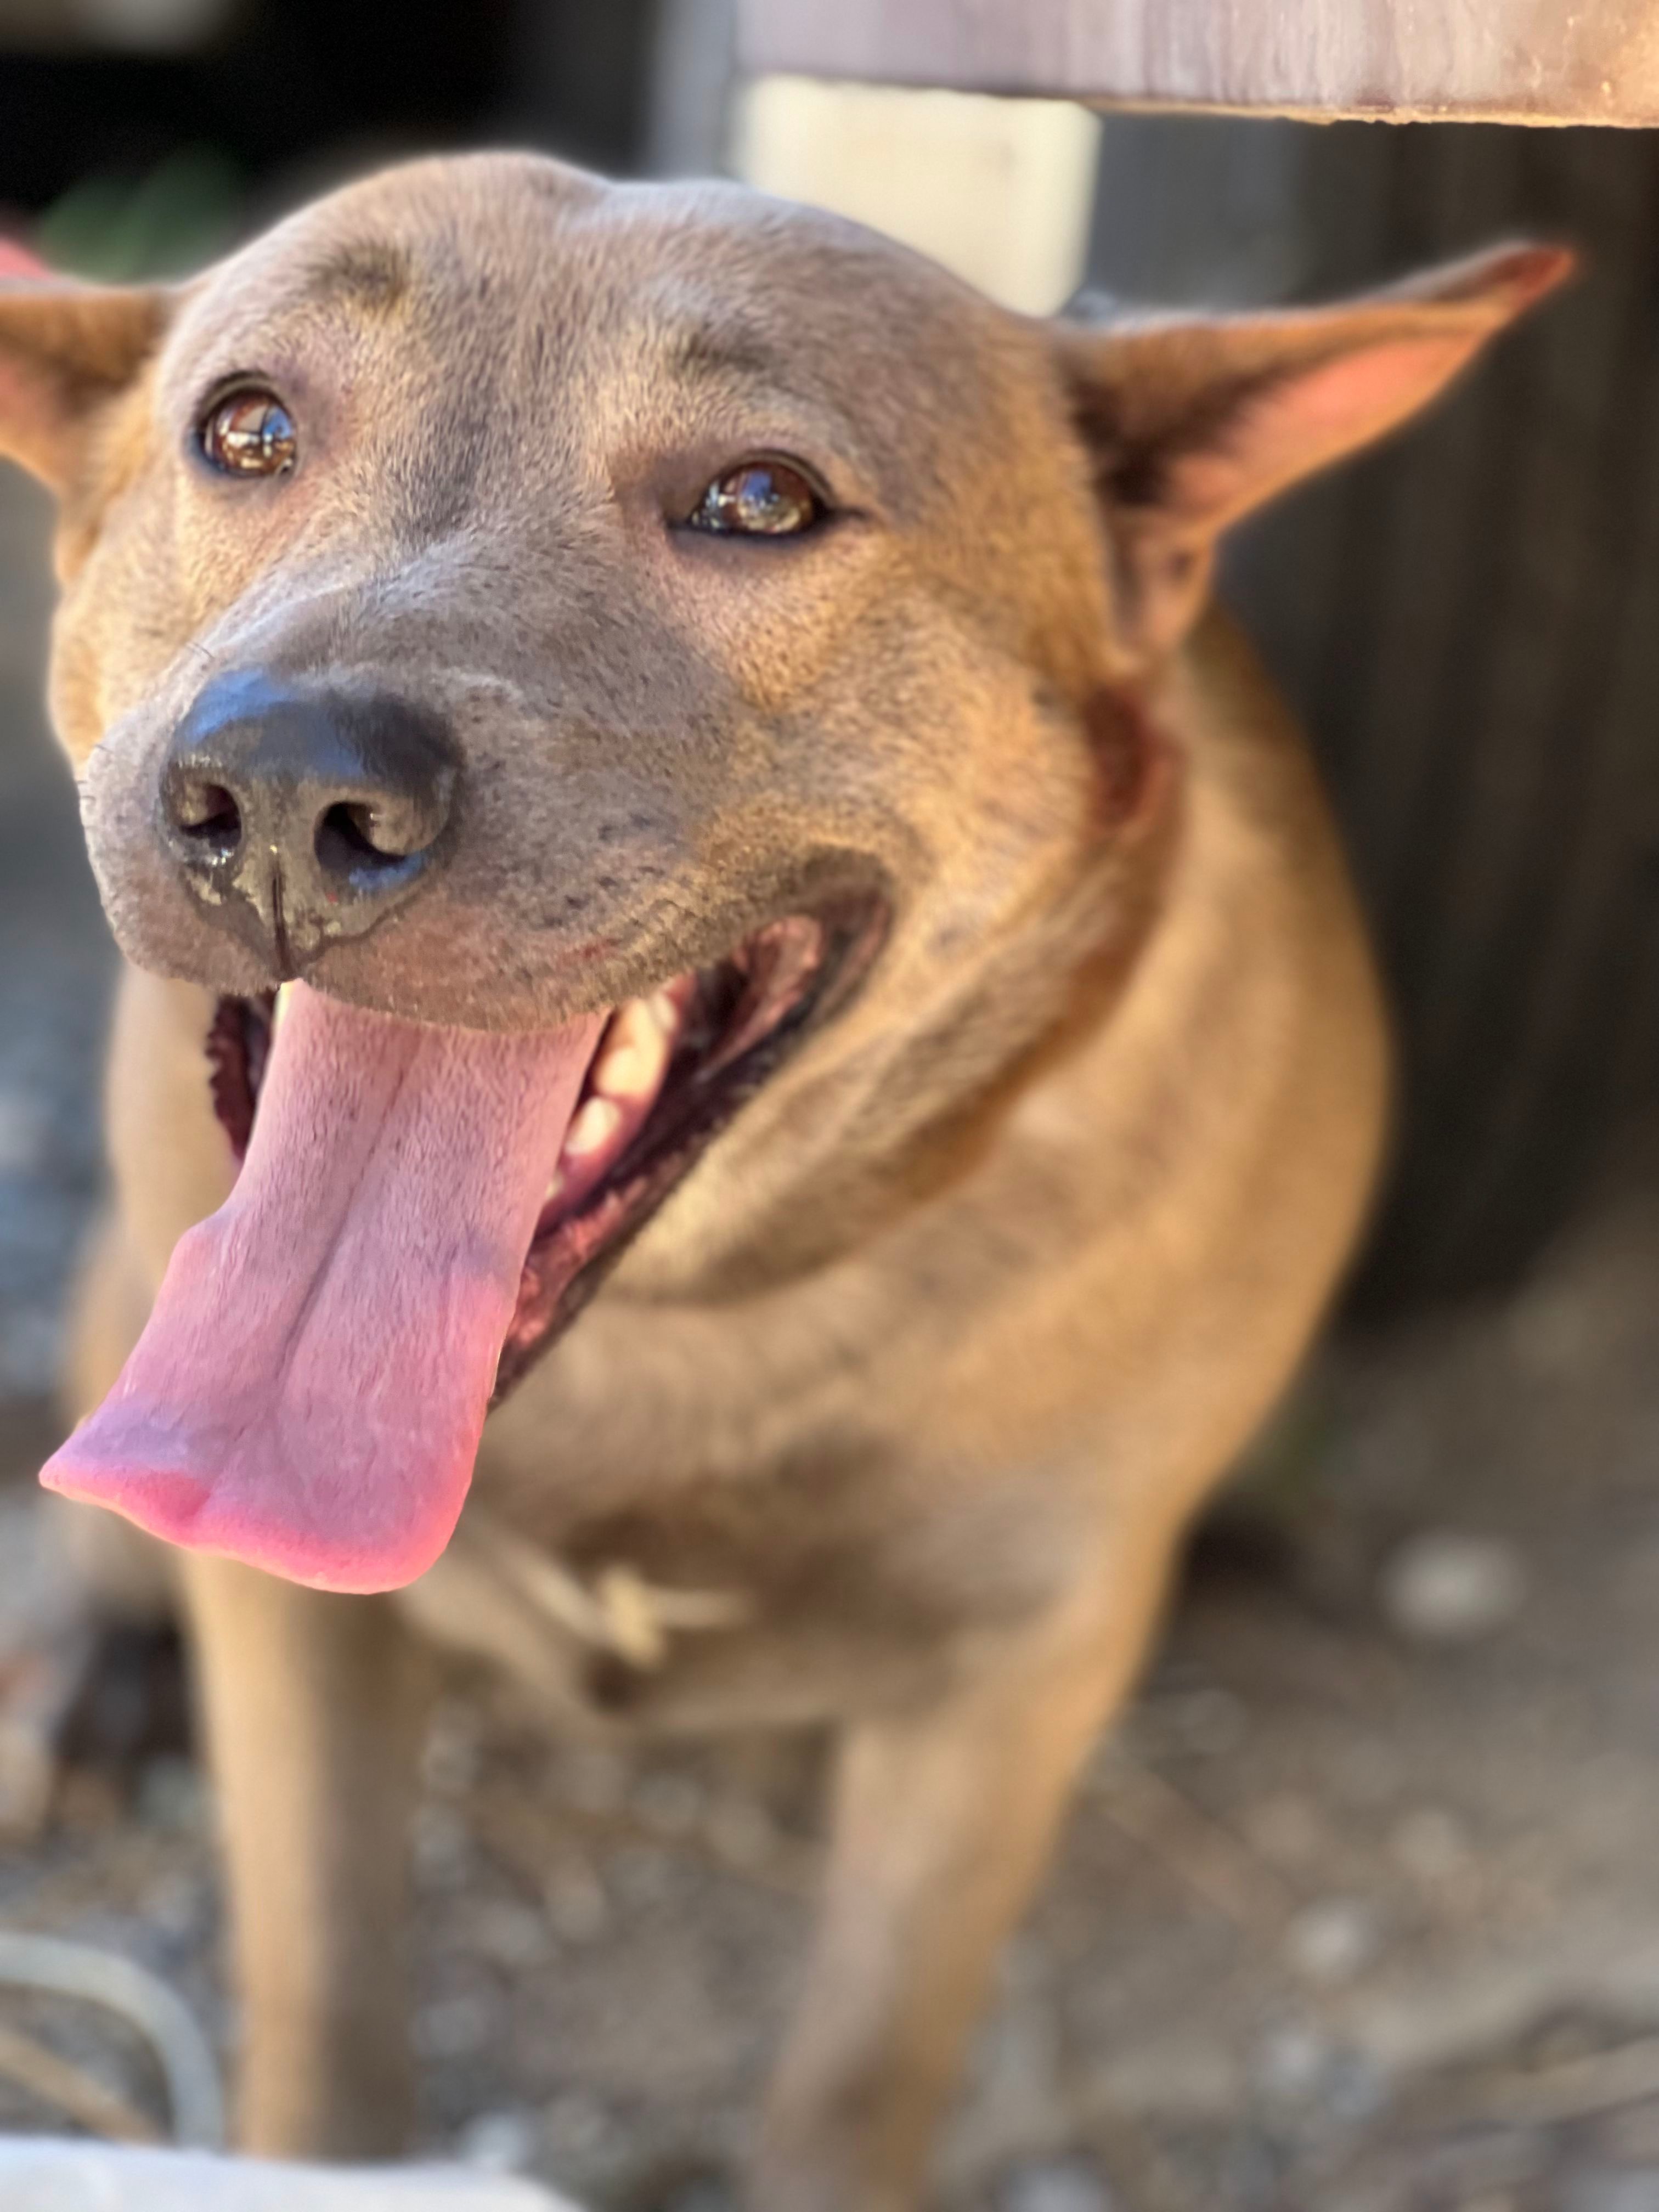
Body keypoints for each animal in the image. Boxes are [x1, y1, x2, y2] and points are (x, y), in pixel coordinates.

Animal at [0, 160, 1566, 2212]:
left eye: (761, 500)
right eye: (245, 429)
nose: (281, 792)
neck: (681, 1320)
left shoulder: (1012, 1686)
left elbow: (857, 2067)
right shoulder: (289, 1628)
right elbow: (323, 2010)